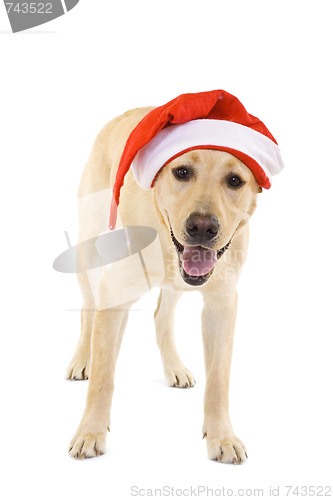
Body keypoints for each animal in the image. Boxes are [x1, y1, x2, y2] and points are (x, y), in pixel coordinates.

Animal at [65, 91, 282, 464]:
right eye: (182, 172)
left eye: (235, 180)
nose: (202, 227)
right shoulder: (114, 292)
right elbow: (104, 376)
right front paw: (90, 432)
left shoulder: (221, 303)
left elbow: (218, 379)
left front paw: (222, 436)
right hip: (90, 248)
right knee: (89, 309)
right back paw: (82, 358)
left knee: (161, 315)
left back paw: (174, 367)